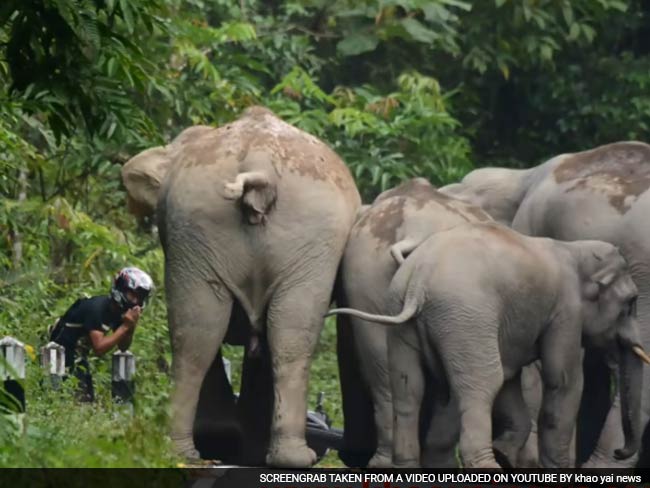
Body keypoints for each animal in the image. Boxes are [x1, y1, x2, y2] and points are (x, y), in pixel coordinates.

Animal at [330, 222, 648, 468]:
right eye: (632, 302)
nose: (620, 452)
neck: (573, 249)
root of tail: (418, 279)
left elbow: (511, 378)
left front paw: (505, 452)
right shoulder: (566, 312)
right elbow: (563, 381)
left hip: (401, 317)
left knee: (408, 388)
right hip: (465, 316)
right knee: (482, 383)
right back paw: (487, 466)